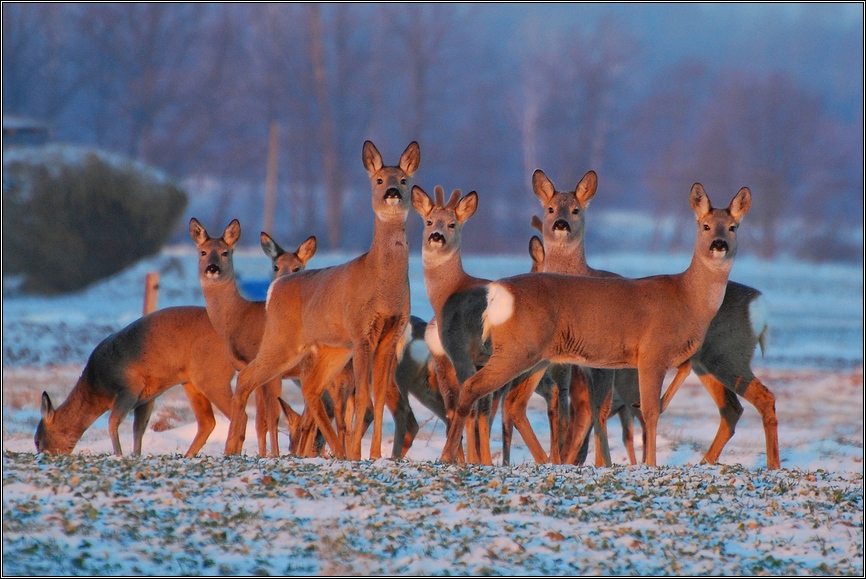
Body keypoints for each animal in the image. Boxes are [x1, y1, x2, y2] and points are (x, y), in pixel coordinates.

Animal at [187, 218, 316, 458]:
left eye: (225, 252)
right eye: (203, 252)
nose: (212, 268)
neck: (239, 317)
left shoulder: (270, 370)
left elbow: (272, 416)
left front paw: (272, 455)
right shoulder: (247, 368)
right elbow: (260, 420)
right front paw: (262, 454)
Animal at [224, 140, 420, 462]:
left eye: (404, 180)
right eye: (379, 180)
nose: (392, 192)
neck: (383, 284)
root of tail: (275, 289)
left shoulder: (392, 333)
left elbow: (378, 398)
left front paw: (375, 455)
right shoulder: (361, 331)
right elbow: (364, 395)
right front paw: (358, 455)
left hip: (332, 349)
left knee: (311, 388)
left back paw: (336, 451)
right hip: (283, 340)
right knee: (247, 378)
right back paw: (231, 448)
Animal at [438, 182, 748, 466]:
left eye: (733, 227)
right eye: (706, 226)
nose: (719, 244)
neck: (686, 298)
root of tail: (496, 293)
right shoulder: (652, 352)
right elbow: (650, 411)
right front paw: (650, 464)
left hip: (534, 356)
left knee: (512, 401)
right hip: (516, 349)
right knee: (473, 387)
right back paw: (448, 455)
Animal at [528, 170, 780, 468]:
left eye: (733, 227)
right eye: (551, 208)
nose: (561, 224)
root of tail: (760, 303)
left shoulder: (628, 360)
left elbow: (609, 410)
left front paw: (626, 463)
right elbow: (593, 411)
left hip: (728, 355)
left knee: (761, 398)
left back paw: (770, 464)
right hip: (713, 363)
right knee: (733, 407)